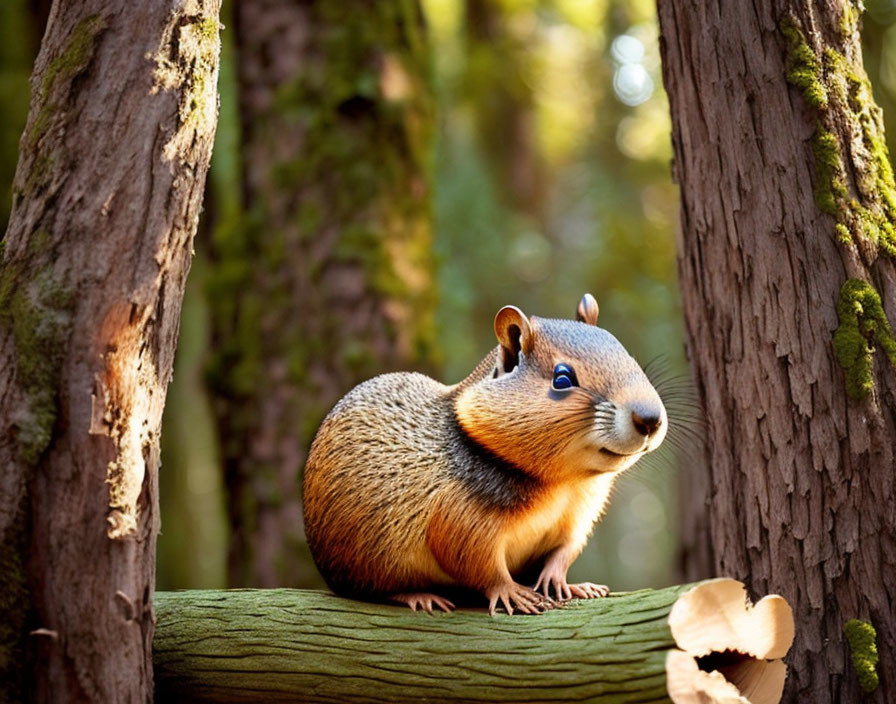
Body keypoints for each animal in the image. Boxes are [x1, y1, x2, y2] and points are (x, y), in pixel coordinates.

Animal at [300, 294, 664, 612]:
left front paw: (564, 582)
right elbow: (472, 560)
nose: (650, 418)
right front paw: (511, 592)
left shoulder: (577, 518)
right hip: (365, 562)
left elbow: (565, 551)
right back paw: (419, 596)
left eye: (629, 358)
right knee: (370, 591)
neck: (563, 483)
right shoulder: (458, 515)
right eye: (562, 378)